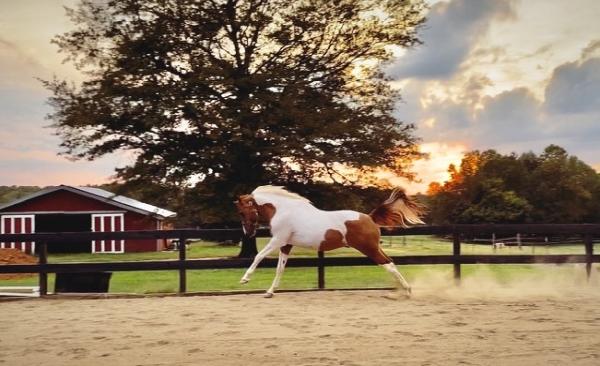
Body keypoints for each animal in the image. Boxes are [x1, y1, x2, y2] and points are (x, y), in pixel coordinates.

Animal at [234, 186, 426, 298]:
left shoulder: (277, 240)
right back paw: (400, 289)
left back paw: (407, 291)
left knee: (388, 264)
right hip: (374, 248)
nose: (248, 233)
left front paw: (244, 279)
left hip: (369, 249)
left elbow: (258, 256)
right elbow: (279, 269)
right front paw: (269, 292)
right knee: (390, 263)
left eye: (242, 212)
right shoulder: (286, 245)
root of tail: (369, 217)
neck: (283, 210)